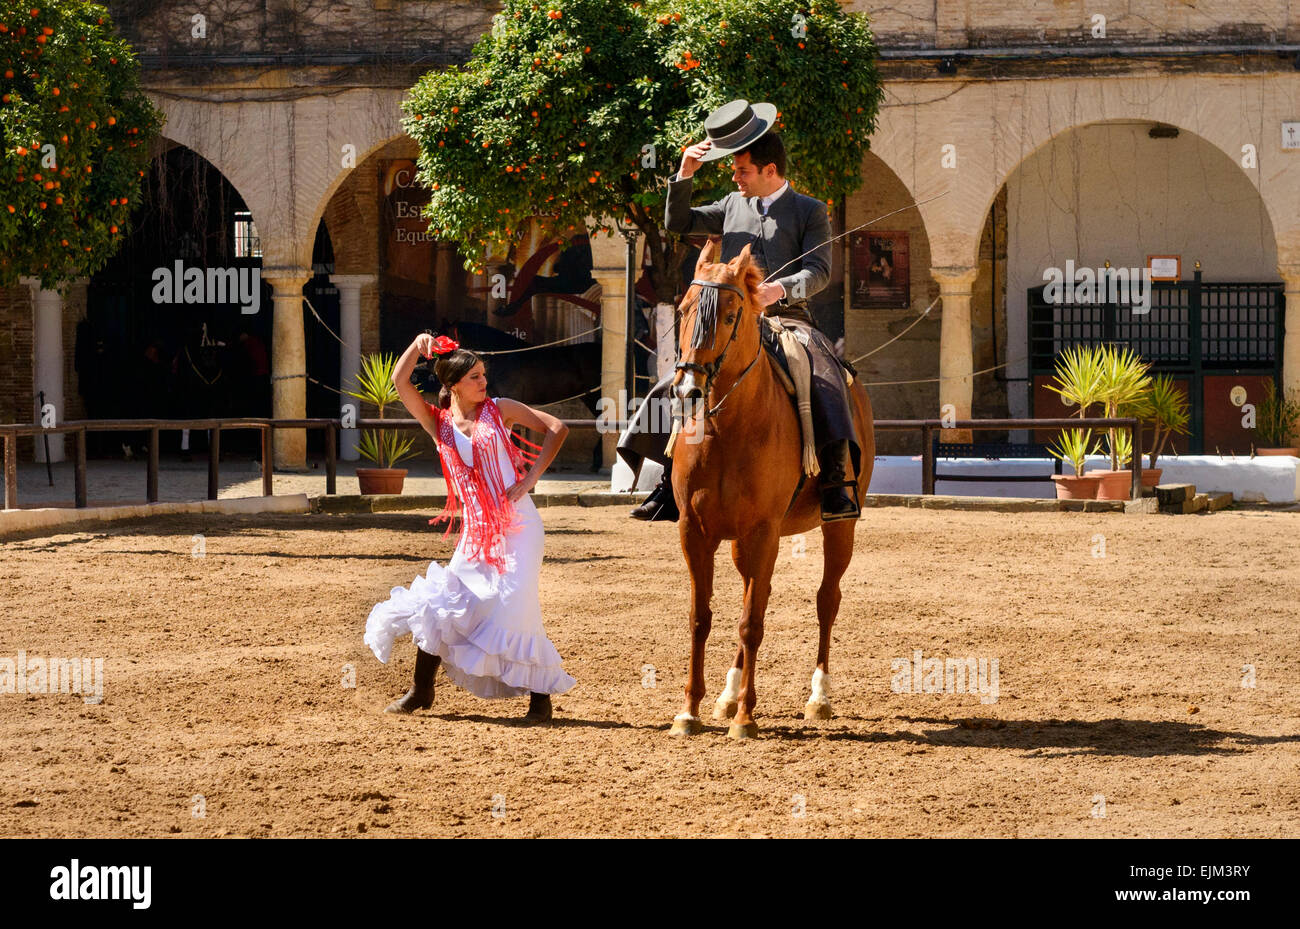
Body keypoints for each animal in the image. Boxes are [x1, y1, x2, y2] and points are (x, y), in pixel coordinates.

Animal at [670, 241, 873, 743]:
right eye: (683, 310)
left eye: (729, 315)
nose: (688, 391)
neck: (727, 430)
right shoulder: (695, 533)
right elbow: (701, 618)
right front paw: (690, 711)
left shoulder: (763, 532)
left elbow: (751, 623)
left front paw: (746, 718)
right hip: (745, 543)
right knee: (753, 591)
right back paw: (728, 693)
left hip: (838, 528)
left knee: (826, 600)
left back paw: (818, 697)